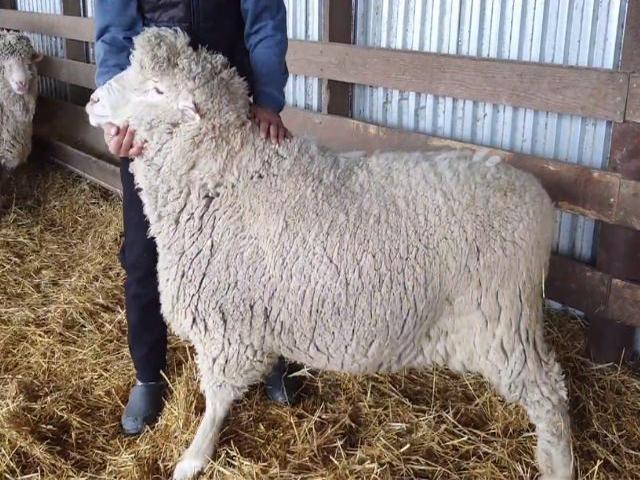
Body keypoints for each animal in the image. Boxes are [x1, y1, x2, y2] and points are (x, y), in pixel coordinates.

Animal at [86, 28, 574, 480]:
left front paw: (194, 455)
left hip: (502, 318)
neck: (227, 177)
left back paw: (559, 464)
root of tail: (539, 197)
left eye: (157, 90)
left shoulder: (228, 326)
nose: (92, 101)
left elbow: (217, 398)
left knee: (550, 393)